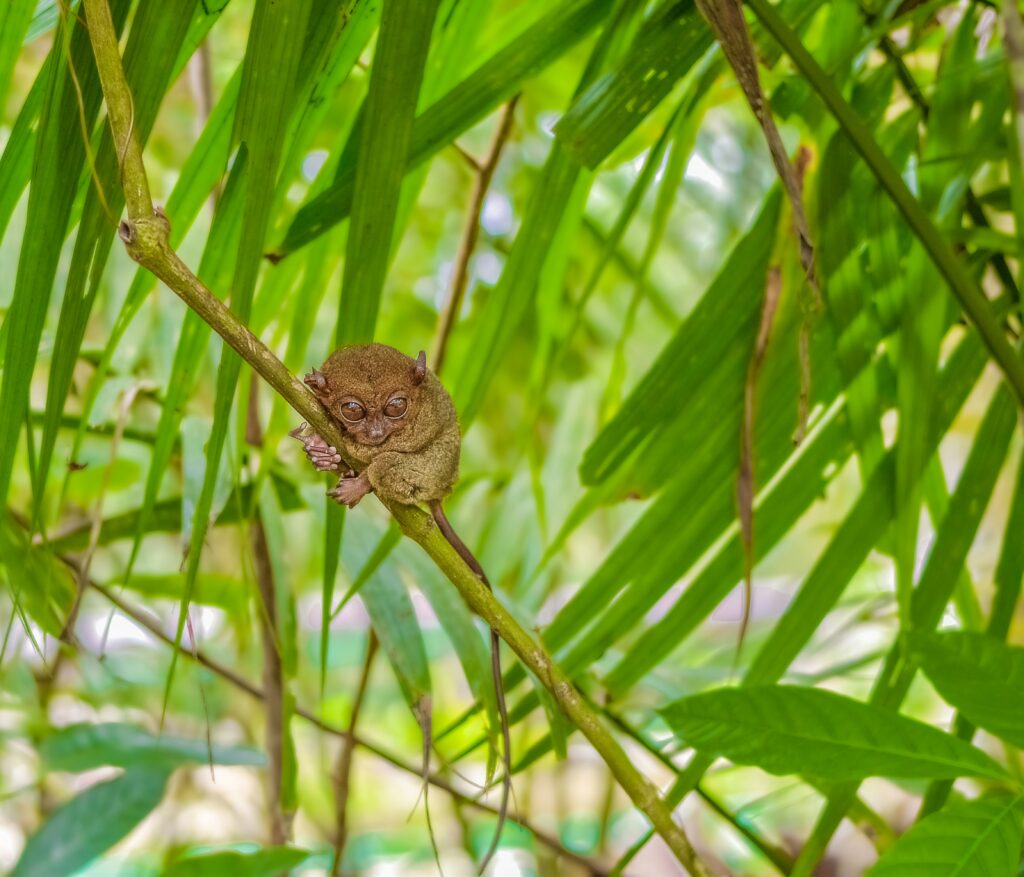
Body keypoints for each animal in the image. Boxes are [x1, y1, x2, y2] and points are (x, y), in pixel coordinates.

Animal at [289, 342, 511, 873]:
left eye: (395, 408)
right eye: (353, 409)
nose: (371, 432)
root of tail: (443, 492)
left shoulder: (423, 419)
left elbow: (398, 450)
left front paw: (354, 457)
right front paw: (323, 439)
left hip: (430, 473)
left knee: (395, 468)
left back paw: (364, 478)